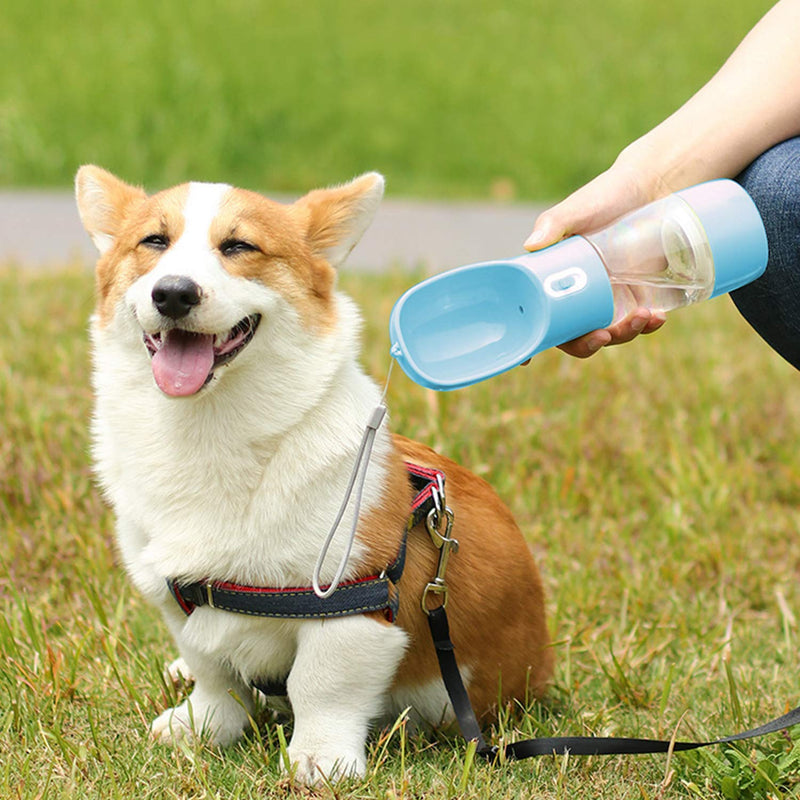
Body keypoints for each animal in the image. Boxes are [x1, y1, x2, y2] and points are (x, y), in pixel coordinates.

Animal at [75, 166, 552, 784]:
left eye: (239, 246)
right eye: (154, 241)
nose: (174, 292)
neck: (209, 432)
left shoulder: (351, 606)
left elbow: (320, 686)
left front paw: (319, 761)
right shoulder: (177, 598)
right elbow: (214, 674)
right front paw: (201, 727)